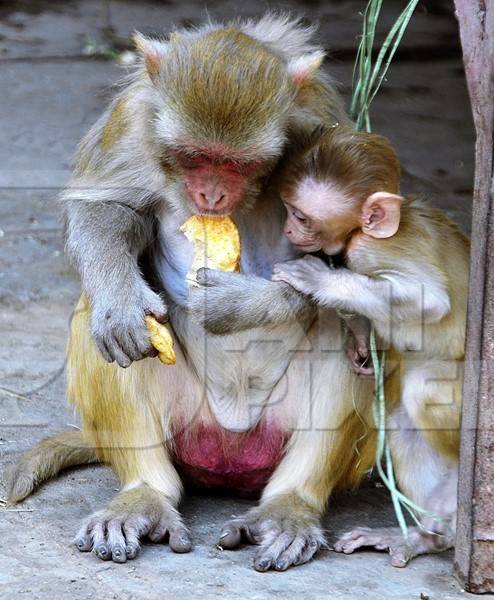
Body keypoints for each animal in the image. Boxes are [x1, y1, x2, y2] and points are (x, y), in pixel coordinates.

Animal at [4, 15, 378, 572]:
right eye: (194, 156)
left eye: (238, 164)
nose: (211, 195)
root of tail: (228, 449)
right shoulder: (131, 123)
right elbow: (104, 209)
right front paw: (120, 302)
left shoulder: (323, 121)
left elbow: (366, 256)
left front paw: (245, 304)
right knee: (104, 319)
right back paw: (144, 493)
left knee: (351, 329)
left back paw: (290, 504)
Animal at [272, 125, 468, 564]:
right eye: (288, 210)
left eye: (301, 216)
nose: (288, 230)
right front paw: (361, 339)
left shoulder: (370, 250)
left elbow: (430, 301)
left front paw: (321, 281)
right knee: (401, 420)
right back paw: (430, 535)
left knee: (424, 388)